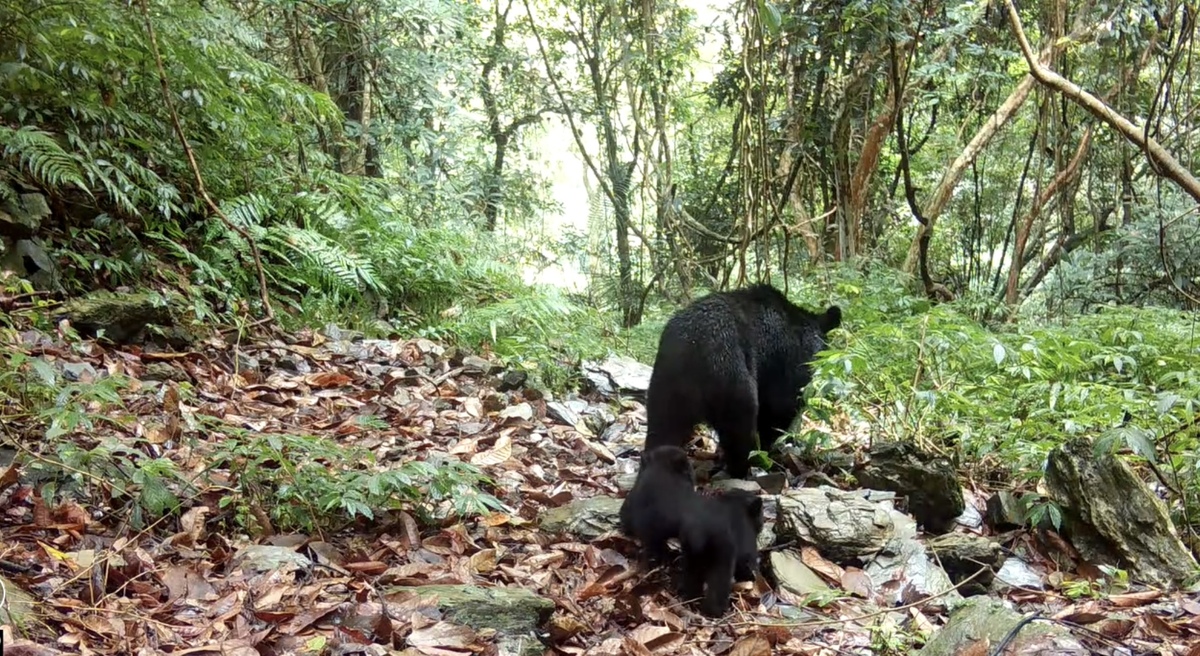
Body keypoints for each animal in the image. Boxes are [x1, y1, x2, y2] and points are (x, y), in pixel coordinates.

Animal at [644, 284, 842, 479]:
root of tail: (692, 352)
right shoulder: (790, 360)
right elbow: (780, 405)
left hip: (664, 385)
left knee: (661, 429)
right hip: (731, 375)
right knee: (741, 423)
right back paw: (745, 465)